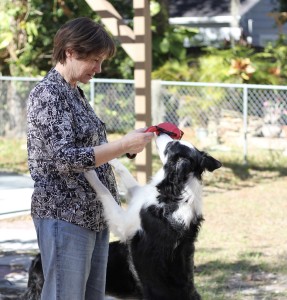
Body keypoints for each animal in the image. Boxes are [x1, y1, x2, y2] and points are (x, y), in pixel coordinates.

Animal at [22, 134, 223, 300]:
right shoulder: (136, 196)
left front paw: (89, 171)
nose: (160, 131)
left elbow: (104, 191)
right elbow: (126, 174)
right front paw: (110, 153)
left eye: (171, 145)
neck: (174, 192)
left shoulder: (123, 223)